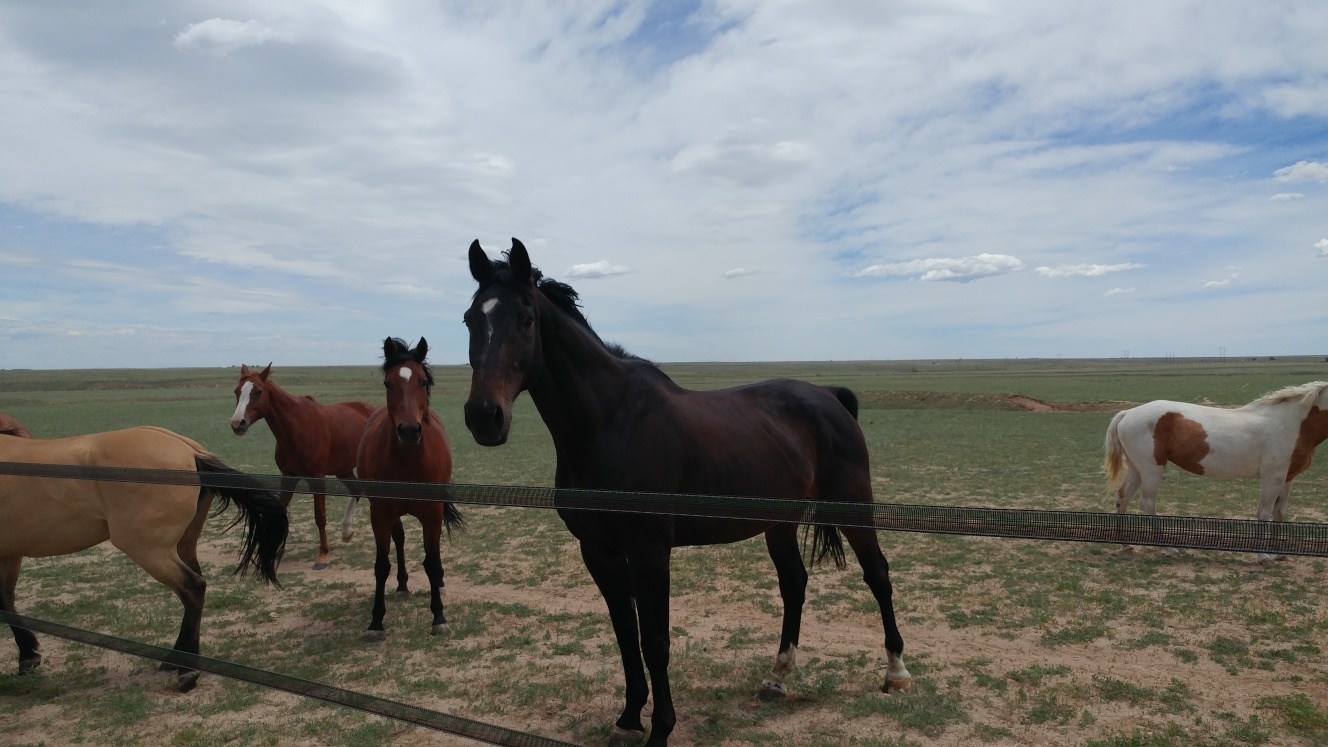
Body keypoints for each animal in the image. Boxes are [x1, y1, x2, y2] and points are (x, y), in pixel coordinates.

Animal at [0, 422, 285, 691]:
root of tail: (189, 451)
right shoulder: (10, 554)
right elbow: (7, 600)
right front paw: (28, 656)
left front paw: (27, 656)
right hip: (183, 544)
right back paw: (175, 659)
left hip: (149, 550)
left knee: (193, 588)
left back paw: (187, 672)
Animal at [231, 364, 377, 566]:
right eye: (237, 391)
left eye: (258, 392)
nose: (238, 423)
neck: (298, 426)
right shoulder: (288, 476)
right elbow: (280, 510)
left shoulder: (317, 477)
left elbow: (320, 516)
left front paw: (323, 554)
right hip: (343, 469)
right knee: (356, 490)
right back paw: (346, 532)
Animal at [355, 336, 464, 632]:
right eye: (387, 383)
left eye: (423, 382)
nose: (409, 431)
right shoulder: (380, 512)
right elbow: (381, 565)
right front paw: (376, 621)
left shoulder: (433, 512)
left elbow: (432, 561)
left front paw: (439, 617)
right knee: (400, 539)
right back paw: (402, 585)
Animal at [462, 237, 908, 744]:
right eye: (470, 319)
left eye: (526, 319)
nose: (484, 416)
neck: (611, 422)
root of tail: (829, 396)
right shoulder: (598, 552)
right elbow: (625, 634)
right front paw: (628, 718)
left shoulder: (650, 550)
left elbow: (655, 641)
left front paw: (660, 729)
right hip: (779, 522)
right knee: (794, 583)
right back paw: (776, 678)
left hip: (852, 506)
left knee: (878, 575)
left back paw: (896, 673)